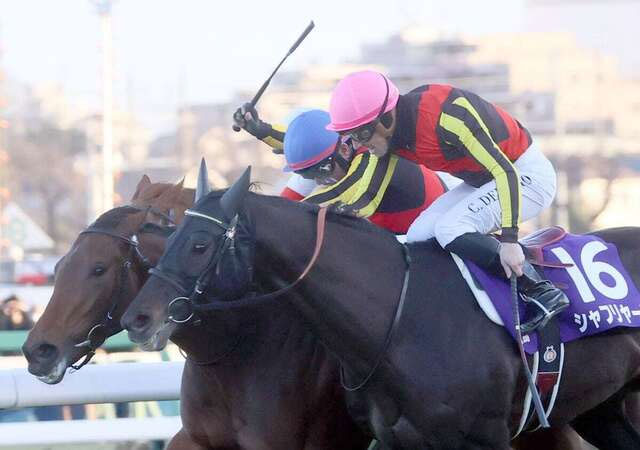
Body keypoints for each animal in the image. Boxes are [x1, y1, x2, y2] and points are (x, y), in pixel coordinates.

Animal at [121, 166, 640, 449]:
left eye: (200, 244)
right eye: (168, 237)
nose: (137, 318)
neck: (400, 319)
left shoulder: (486, 438)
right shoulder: (399, 439)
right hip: (603, 407)